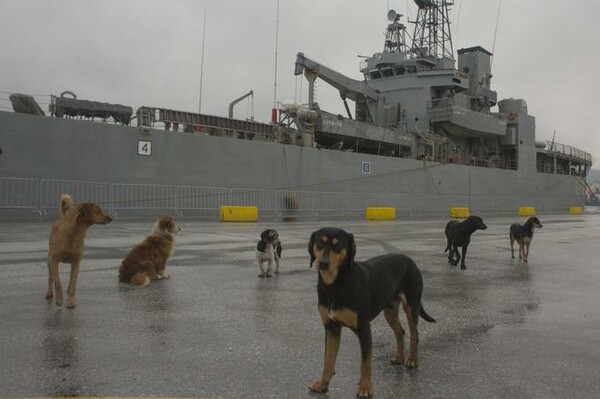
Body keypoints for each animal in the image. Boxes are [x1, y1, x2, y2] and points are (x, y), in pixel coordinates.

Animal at [308, 227, 434, 398]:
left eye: (337, 245)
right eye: (320, 243)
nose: (323, 263)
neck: (336, 285)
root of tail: (410, 261)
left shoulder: (363, 329)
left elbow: (366, 363)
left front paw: (365, 388)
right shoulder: (331, 327)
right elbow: (328, 360)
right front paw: (322, 384)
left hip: (411, 305)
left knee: (414, 334)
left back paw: (412, 360)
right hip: (389, 311)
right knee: (400, 332)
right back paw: (399, 358)